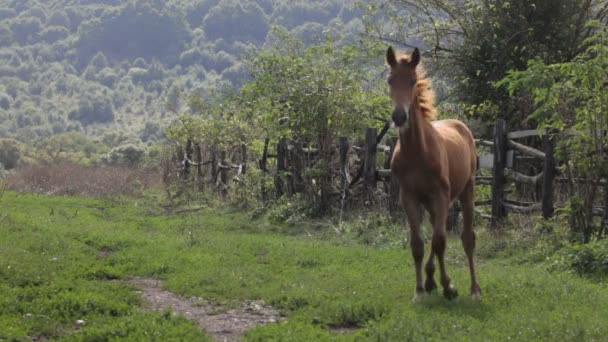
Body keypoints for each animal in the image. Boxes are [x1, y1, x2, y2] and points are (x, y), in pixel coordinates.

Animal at [388, 46, 482, 300]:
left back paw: (474, 289)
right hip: (431, 203)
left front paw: (447, 286)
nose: (399, 116)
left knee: (467, 239)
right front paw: (421, 289)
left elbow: (439, 241)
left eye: (412, 81)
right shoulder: (409, 197)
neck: (418, 152)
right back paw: (434, 281)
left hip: (466, 191)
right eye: (390, 80)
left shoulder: (440, 196)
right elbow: (419, 244)